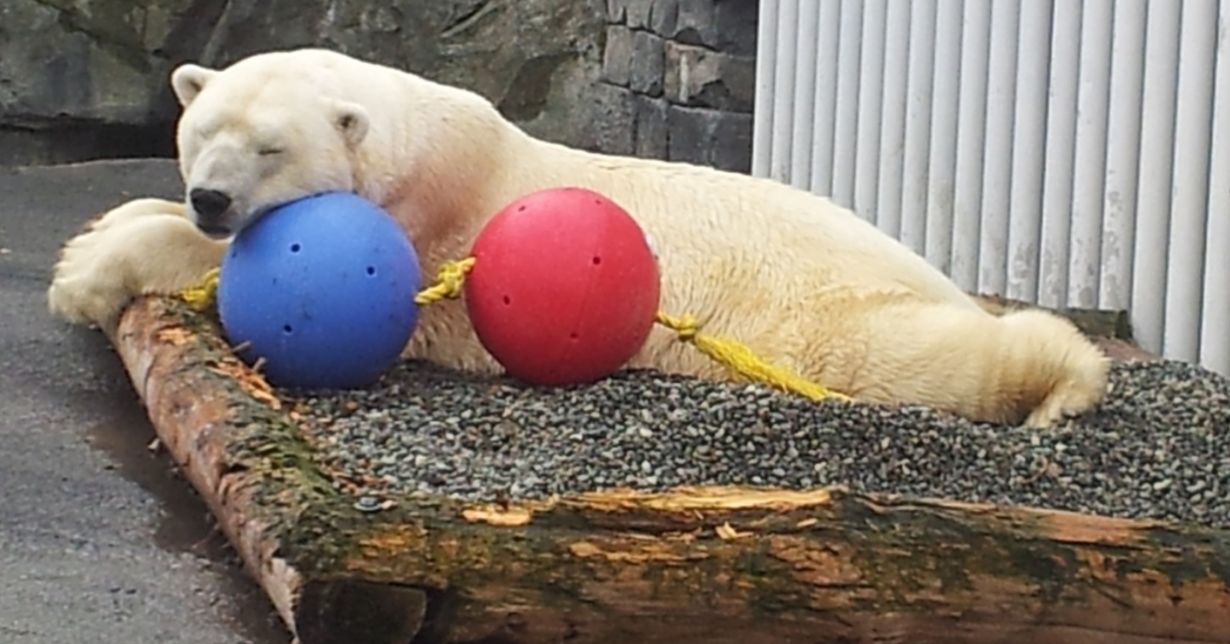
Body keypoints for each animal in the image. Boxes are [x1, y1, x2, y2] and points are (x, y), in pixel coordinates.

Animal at [47, 46, 1111, 427]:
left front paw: (85, 272)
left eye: (270, 150)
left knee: (931, 357)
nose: (210, 199)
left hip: (824, 314)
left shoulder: (427, 220)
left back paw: (1059, 385)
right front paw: (112, 223)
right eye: (200, 133)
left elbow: (228, 269)